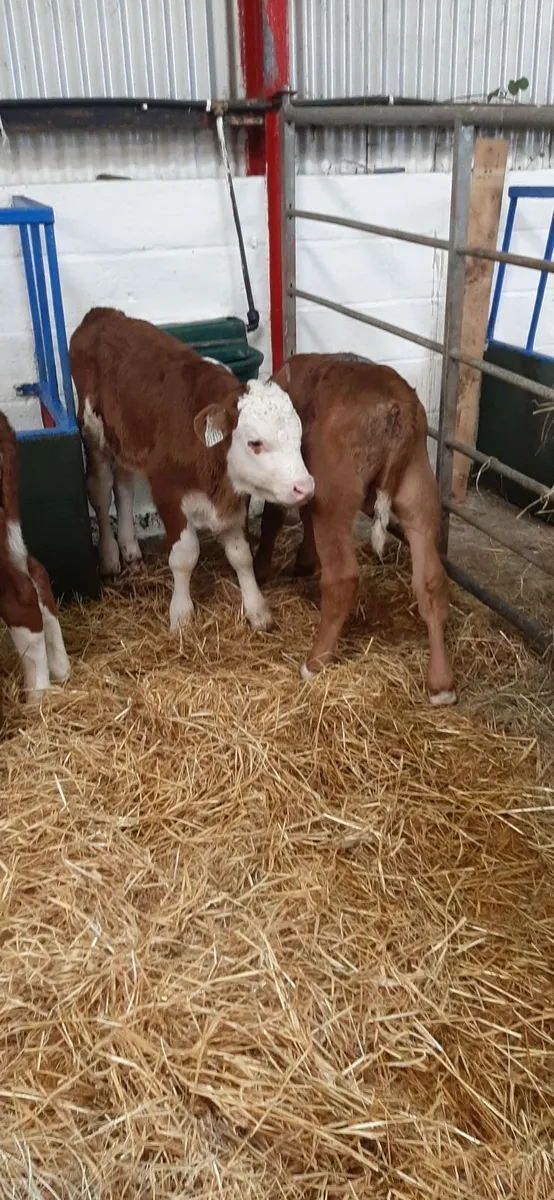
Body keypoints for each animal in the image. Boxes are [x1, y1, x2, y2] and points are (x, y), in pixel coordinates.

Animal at [69, 308, 314, 633]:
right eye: (255, 442)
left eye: (299, 432)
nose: (305, 487)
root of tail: (101, 314)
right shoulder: (169, 492)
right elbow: (184, 556)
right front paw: (181, 615)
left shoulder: (234, 500)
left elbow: (241, 556)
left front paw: (257, 608)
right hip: (94, 433)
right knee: (100, 489)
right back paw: (109, 556)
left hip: (125, 439)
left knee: (124, 487)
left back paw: (129, 546)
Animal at [253, 353, 456, 706]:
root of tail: (398, 401)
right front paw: (304, 562)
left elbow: (272, 518)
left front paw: (262, 568)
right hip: (418, 494)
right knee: (431, 581)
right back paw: (441, 684)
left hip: (333, 495)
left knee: (343, 579)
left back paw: (315, 661)